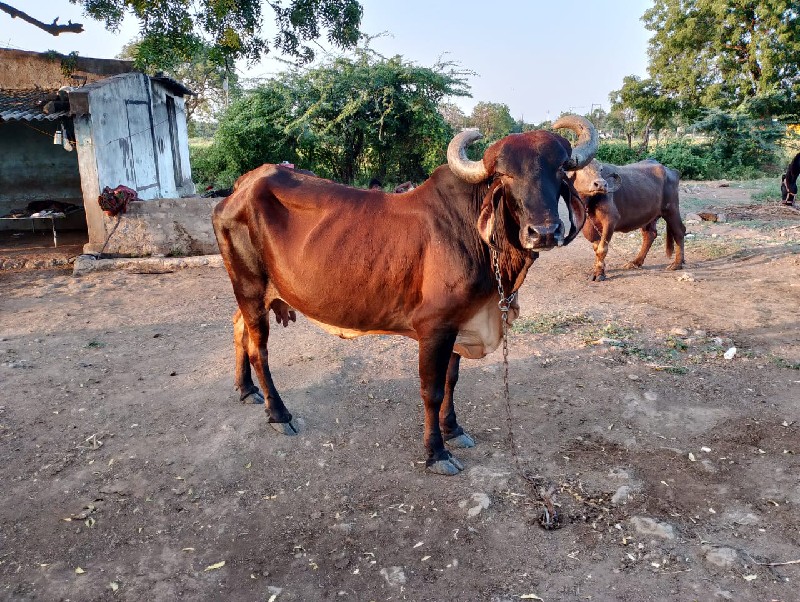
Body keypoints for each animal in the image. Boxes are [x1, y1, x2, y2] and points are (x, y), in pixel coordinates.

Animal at [211, 116, 592, 474]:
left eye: (560, 168)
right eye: (504, 175)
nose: (544, 231)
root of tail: (242, 186)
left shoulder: (459, 322)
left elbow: (452, 379)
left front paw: (453, 430)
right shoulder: (434, 326)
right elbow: (432, 390)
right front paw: (436, 452)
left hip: (254, 293)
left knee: (238, 327)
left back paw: (246, 390)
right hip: (249, 286)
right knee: (259, 350)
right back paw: (279, 414)